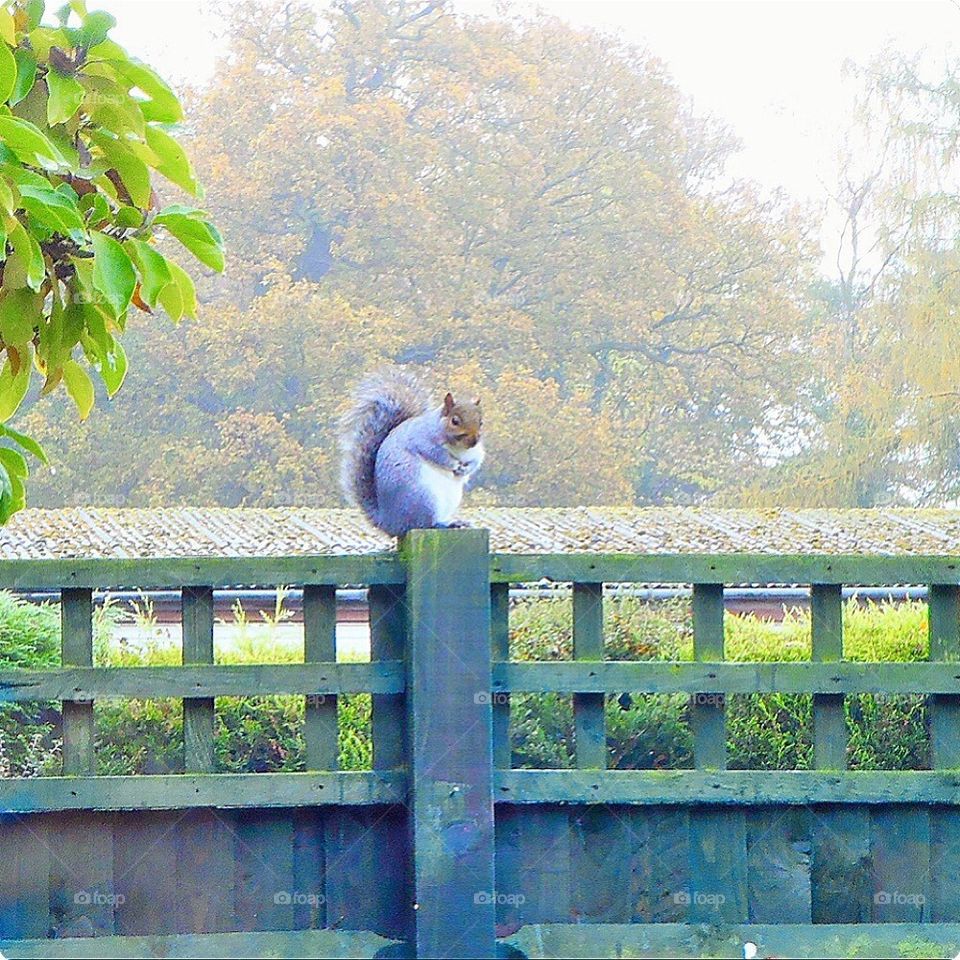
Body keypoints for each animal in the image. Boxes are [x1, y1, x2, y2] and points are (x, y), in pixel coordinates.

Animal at [339, 367, 485, 537]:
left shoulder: (475, 451)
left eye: (481, 422)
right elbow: (437, 455)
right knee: (423, 524)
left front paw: (466, 469)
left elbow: (477, 459)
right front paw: (454, 465)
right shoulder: (423, 439)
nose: (474, 440)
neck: (459, 448)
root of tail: (389, 523)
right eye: (455, 421)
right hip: (423, 498)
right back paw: (444, 524)